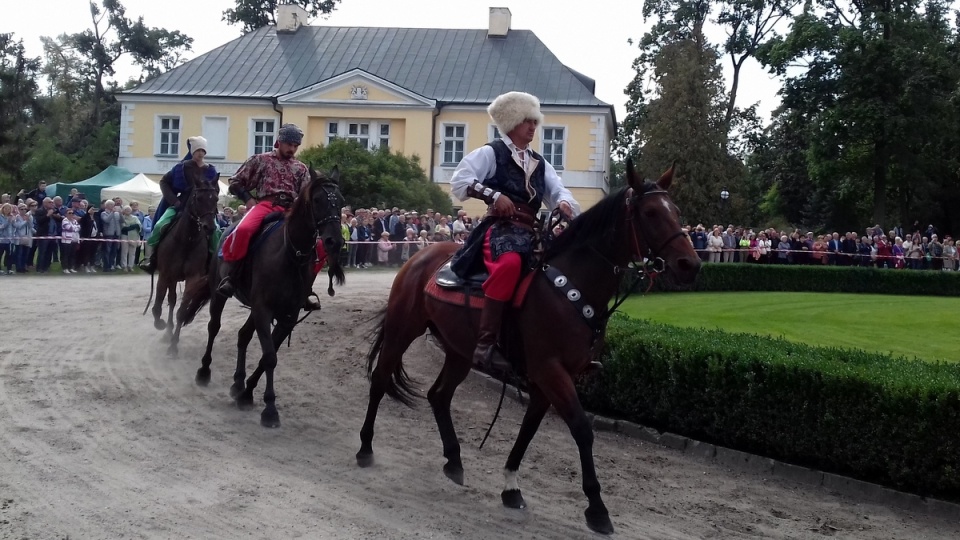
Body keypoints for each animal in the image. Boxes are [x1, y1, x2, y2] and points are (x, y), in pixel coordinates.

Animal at [178, 167, 346, 428]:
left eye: (340, 201)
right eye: (318, 200)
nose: (333, 241)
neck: (290, 254)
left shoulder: (286, 316)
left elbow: (269, 354)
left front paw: (247, 393)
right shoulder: (263, 310)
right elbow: (269, 357)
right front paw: (269, 409)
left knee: (242, 336)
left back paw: (238, 383)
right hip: (220, 295)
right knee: (214, 327)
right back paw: (204, 371)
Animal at [356, 159, 700, 532]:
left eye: (676, 211)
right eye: (650, 212)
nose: (690, 265)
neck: (571, 285)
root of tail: (421, 256)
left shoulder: (550, 379)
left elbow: (529, 429)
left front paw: (511, 487)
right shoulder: (550, 371)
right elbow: (582, 429)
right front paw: (597, 508)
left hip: (459, 351)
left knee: (439, 396)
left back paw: (454, 460)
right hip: (402, 330)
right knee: (380, 380)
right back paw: (365, 449)